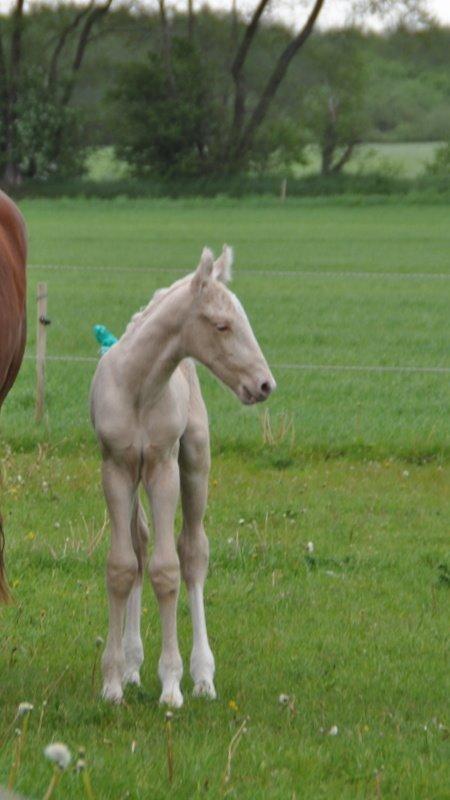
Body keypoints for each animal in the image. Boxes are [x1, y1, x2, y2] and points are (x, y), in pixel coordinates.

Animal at [90, 245, 274, 708]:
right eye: (222, 324)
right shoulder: (116, 468)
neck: (139, 386)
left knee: (193, 553)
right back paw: (133, 666)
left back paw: (203, 676)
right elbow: (122, 566)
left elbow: (168, 569)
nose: (265, 385)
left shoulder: (164, 467)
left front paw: (171, 684)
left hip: (194, 464)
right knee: (140, 545)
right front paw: (112, 681)